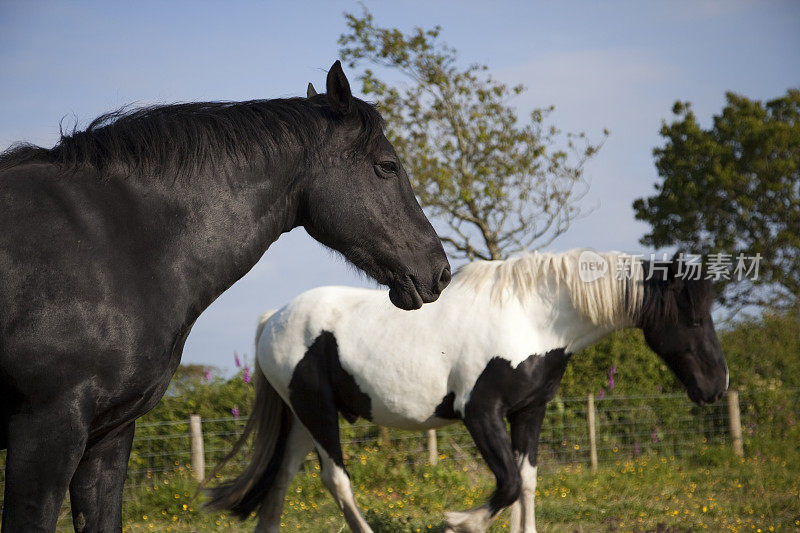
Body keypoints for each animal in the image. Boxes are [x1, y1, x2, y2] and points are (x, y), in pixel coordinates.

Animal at [209, 249, 728, 532]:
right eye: (693, 318)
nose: (717, 387)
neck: (534, 317)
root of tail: (271, 319)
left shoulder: (529, 412)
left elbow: (528, 481)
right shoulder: (481, 412)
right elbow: (509, 483)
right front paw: (461, 521)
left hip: (301, 418)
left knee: (279, 484)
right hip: (317, 414)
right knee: (336, 481)